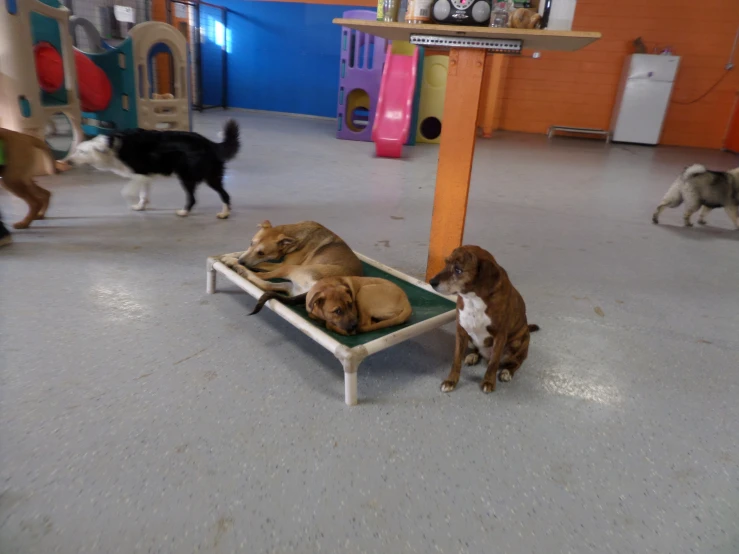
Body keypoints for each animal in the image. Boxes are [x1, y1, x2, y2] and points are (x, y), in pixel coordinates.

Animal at [68, 119, 240, 217]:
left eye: (82, 152)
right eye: (77, 150)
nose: (68, 162)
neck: (111, 147)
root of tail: (209, 143)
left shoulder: (139, 174)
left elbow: (126, 192)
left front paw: (131, 202)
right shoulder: (145, 176)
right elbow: (143, 194)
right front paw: (140, 206)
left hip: (188, 177)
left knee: (195, 198)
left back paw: (185, 212)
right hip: (211, 176)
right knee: (225, 194)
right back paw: (225, 212)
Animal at [223, 220, 368, 298]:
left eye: (261, 253)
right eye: (251, 243)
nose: (241, 261)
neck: (294, 234)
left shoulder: (280, 264)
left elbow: (262, 264)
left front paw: (232, 260)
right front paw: (231, 257)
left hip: (292, 268)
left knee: (260, 275)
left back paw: (239, 268)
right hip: (290, 283)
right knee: (265, 283)